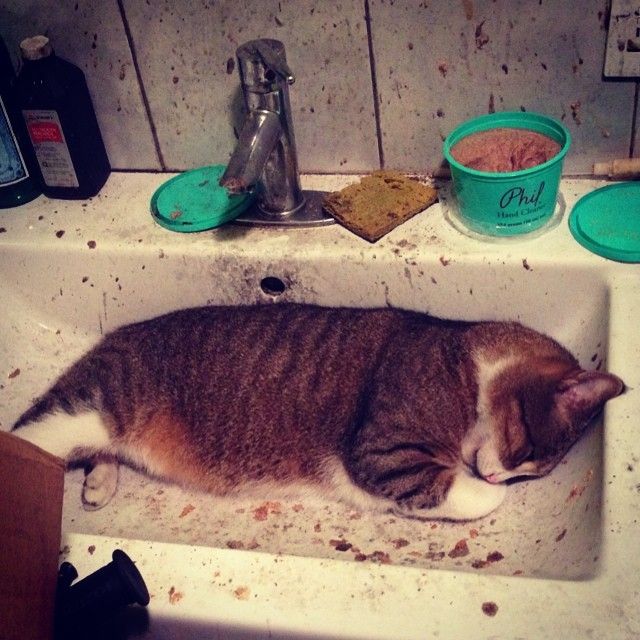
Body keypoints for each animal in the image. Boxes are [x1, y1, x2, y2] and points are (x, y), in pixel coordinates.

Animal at [7, 304, 624, 520]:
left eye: (531, 473)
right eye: (526, 448)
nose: (501, 474)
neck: (467, 357)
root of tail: (114, 335)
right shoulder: (383, 451)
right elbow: (457, 492)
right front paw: (482, 490)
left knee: (98, 452)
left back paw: (99, 482)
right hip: (84, 411)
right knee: (26, 434)